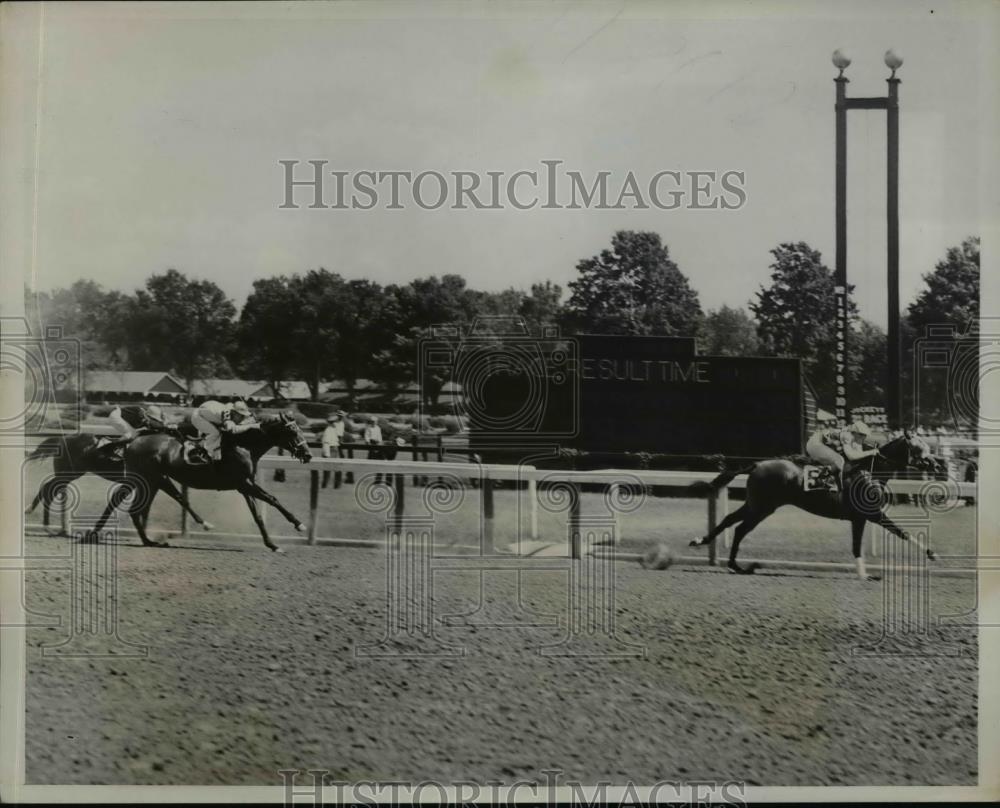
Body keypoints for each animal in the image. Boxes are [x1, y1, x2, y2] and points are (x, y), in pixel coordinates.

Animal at [24, 432, 213, 532]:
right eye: (201, 453)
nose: (210, 462)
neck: (164, 450)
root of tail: (62, 438)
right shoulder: (160, 479)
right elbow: (181, 499)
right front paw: (206, 524)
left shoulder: (152, 482)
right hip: (70, 473)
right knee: (47, 488)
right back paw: (34, 513)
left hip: (70, 474)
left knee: (49, 489)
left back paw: (45, 523)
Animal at [88, 414, 310, 552]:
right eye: (292, 432)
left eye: (300, 430)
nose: (308, 454)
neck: (244, 445)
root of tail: (133, 440)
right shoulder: (244, 483)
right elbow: (272, 499)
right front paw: (299, 525)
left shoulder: (244, 486)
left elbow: (258, 516)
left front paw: (273, 544)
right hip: (147, 479)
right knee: (129, 504)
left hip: (151, 480)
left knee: (130, 504)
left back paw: (143, 540)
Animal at [688, 436, 936, 580]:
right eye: (919, 447)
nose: (935, 463)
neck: (871, 473)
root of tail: (757, 464)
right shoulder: (870, 515)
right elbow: (898, 533)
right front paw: (931, 554)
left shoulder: (862, 518)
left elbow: (864, 544)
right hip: (762, 507)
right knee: (740, 528)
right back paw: (736, 565)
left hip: (757, 504)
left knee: (730, 521)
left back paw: (711, 549)